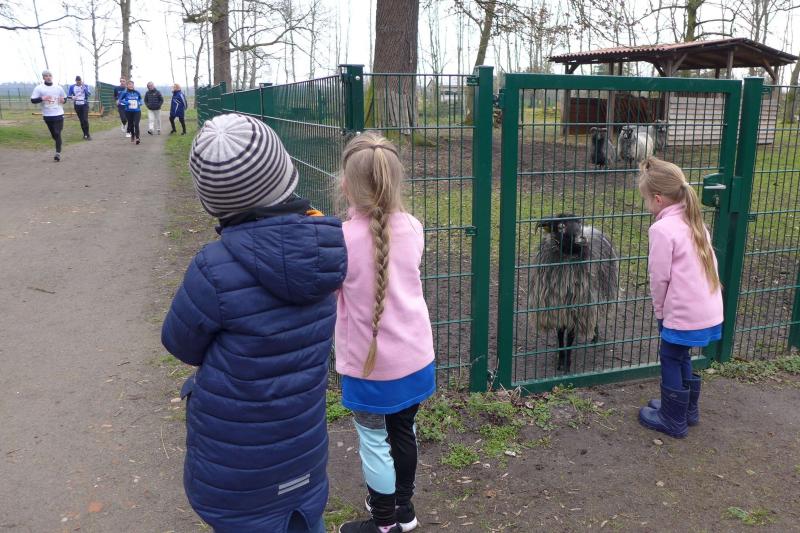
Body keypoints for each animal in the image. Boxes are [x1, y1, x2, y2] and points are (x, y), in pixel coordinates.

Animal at [532, 214, 619, 372]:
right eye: (561, 226)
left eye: (579, 223)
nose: (582, 238)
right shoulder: (558, 310)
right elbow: (561, 336)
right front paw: (560, 361)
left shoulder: (576, 310)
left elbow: (570, 339)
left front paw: (567, 364)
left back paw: (594, 337)